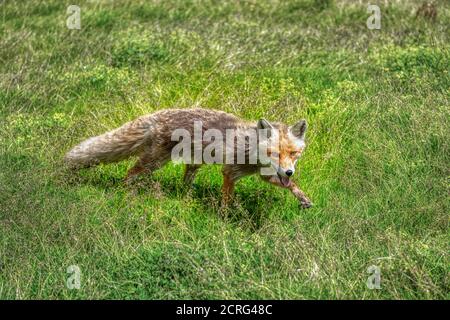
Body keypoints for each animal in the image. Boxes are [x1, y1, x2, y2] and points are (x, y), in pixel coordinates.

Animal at [65, 107, 312, 208]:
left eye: (293, 154)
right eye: (274, 154)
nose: (289, 171)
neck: (250, 149)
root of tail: (155, 115)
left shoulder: (264, 175)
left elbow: (290, 186)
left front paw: (303, 198)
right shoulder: (230, 172)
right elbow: (227, 199)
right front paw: (225, 217)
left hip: (194, 162)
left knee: (185, 180)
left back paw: (186, 195)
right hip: (154, 162)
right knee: (130, 173)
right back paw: (126, 193)